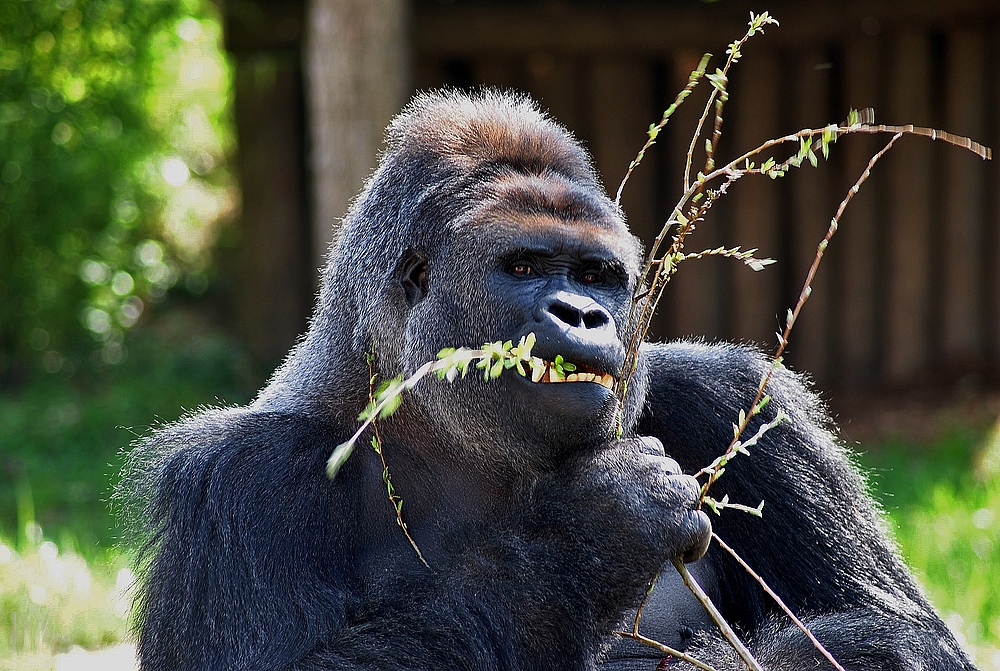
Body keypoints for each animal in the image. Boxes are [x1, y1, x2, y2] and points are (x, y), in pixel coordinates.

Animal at [117, 90, 976, 671]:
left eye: (597, 275)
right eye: (525, 266)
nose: (584, 314)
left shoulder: (736, 397)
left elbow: (899, 631)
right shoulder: (240, 482)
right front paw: (595, 531)